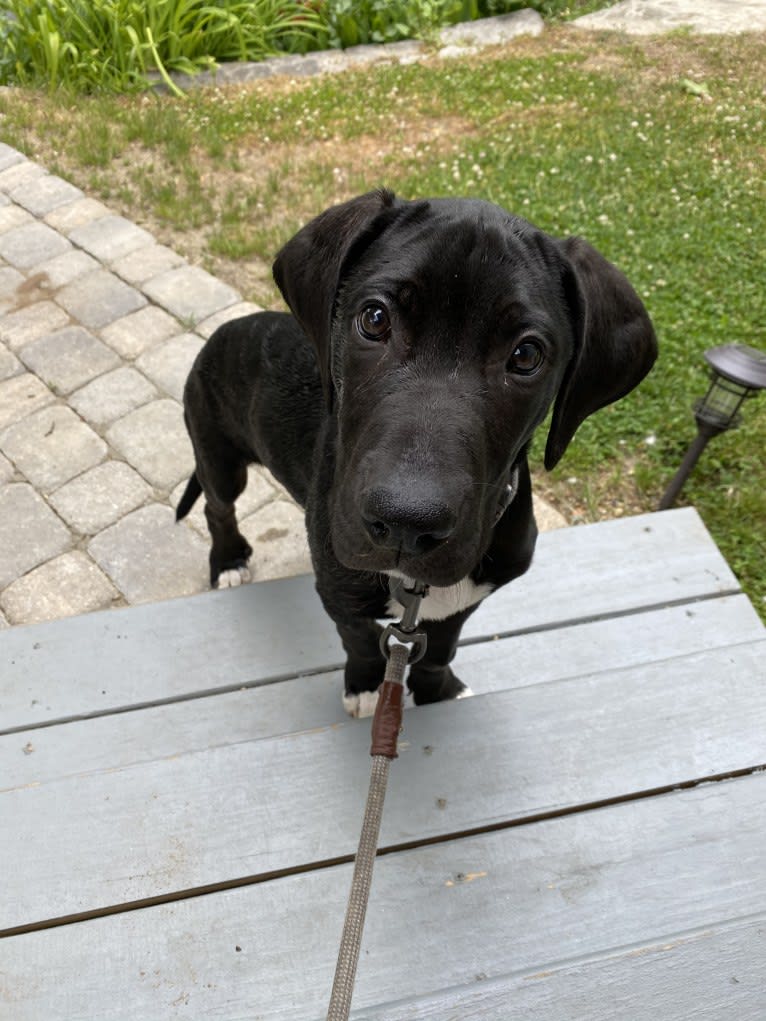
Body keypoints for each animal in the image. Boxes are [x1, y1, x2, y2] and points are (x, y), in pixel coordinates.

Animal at [176, 191, 657, 718]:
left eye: (526, 355)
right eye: (375, 319)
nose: (406, 521)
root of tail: (223, 332)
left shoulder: (465, 598)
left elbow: (440, 646)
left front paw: (438, 689)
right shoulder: (340, 588)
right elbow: (360, 641)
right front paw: (367, 687)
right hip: (217, 451)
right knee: (217, 505)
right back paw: (228, 561)